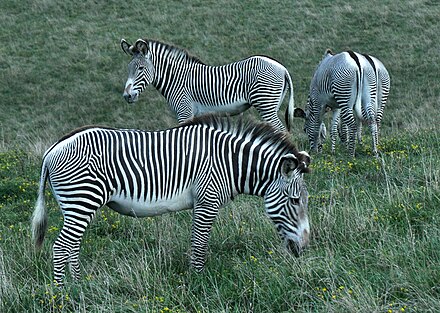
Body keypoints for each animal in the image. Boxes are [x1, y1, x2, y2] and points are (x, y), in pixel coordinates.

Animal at [31, 115, 310, 286]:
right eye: (295, 201)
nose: (304, 248)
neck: (229, 163)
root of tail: (53, 149)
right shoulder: (207, 201)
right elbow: (199, 245)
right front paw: (198, 281)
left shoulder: (201, 204)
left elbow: (196, 243)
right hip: (82, 200)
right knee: (61, 247)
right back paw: (64, 293)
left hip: (76, 206)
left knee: (72, 246)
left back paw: (78, 285)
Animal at [119, 38, 296, 131]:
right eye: (128, 68)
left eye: (141, 68)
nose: (127, 96)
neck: (176, 79)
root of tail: (282, 68)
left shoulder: (185, 111)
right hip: (272, 105)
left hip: (265, 104)